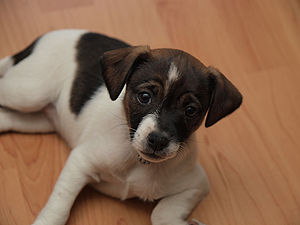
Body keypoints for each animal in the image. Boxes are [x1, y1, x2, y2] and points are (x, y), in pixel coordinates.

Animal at [0, 29, 241, 225]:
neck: (136, 159)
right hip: (29, 92)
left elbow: (160, 214)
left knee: (6, 117)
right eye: (145, 97)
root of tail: (41, 39)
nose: (158, 140)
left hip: (39, 120)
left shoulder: (195, 184)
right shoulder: (80, 162)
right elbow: (59, 207)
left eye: (191, 110)